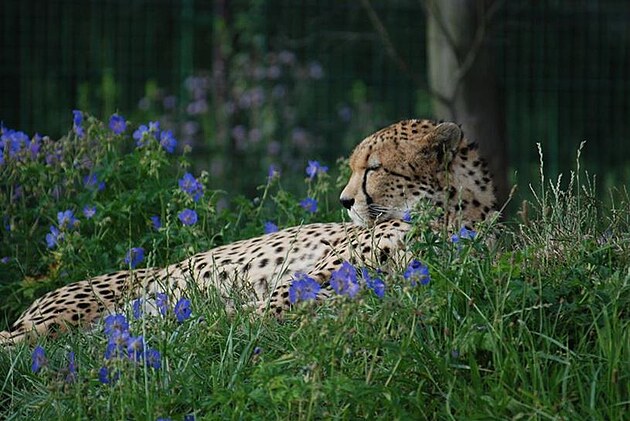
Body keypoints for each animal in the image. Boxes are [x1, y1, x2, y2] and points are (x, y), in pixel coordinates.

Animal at [0, 119, 498, 344]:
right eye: (357, 166)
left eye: (373, 168)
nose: (343, 200)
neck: (450, 218)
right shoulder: (294, 287)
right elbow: (249, 314)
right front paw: (198, 326)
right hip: (63, 317)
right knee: (17, 345)